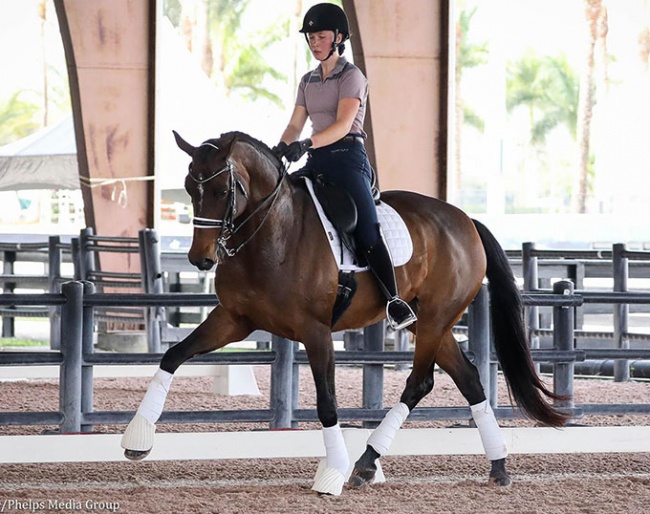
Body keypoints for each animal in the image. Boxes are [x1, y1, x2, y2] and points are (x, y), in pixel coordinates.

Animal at [119, 130, 564, 494]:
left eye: (223, 190)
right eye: (189, 188)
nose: (201, 258)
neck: (271, 231)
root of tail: (466, 219)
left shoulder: (315, 331)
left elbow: (327, 403)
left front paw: (332, 473)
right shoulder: (233, 320)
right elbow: (173, 355)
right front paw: (137, 437)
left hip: (438, 318)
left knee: (419, 383)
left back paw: (366, 464)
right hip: (430, 324)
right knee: (469, 380)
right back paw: (498, 465)